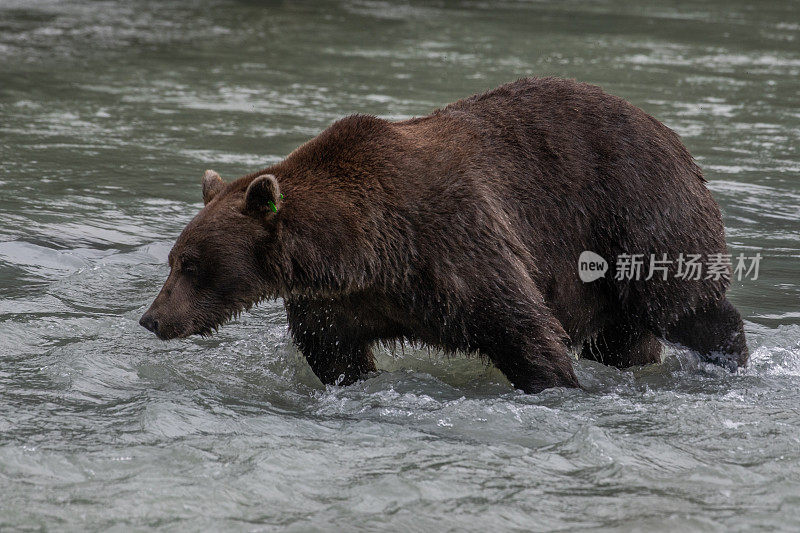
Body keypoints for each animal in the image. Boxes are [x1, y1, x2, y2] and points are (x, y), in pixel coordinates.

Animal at [141, 77, 748, 392]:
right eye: (172, 261)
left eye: (190, 264)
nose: (152, 318)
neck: (363, 251)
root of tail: (672, 134)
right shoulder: (340, 301)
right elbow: (335, 353)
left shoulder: (455, 242)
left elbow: (523, 327)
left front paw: (557, 383)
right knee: (626, 336)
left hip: (637, 213)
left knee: (686, 304)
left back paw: (728, 357)